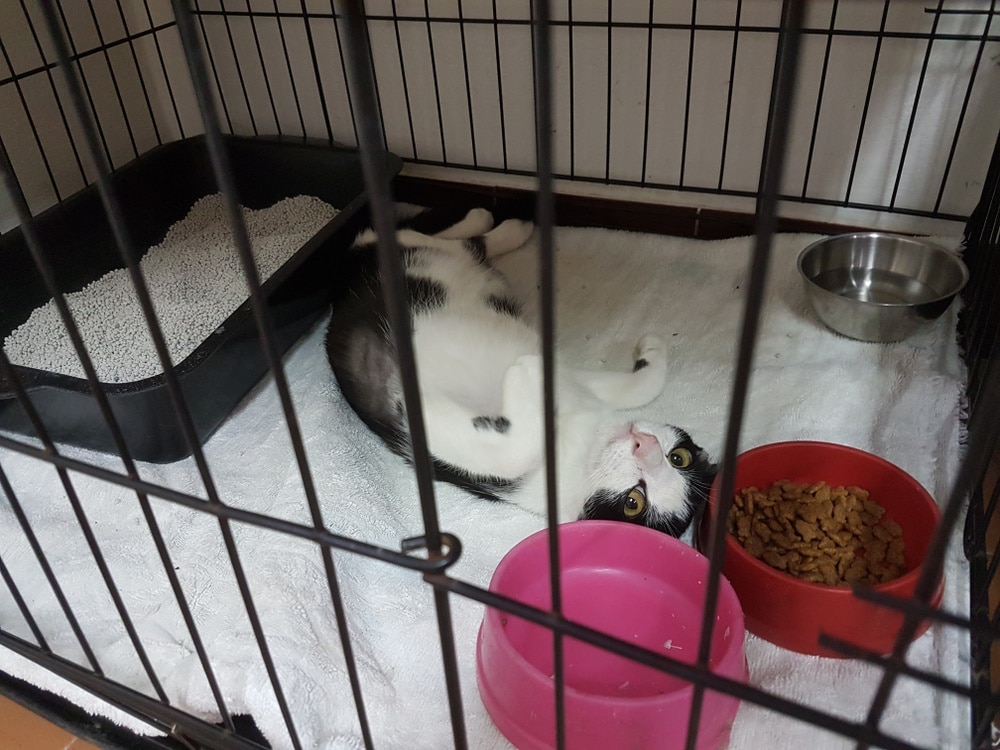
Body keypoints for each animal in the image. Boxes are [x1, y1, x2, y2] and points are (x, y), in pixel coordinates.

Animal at [324, 207, 716, 536]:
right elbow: (642, 385)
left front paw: (523, 371)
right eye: (679, 457)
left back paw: (501, 226)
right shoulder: (577, 382)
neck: (586, 435)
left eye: (634, 503)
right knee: (421, 237)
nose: (645, 445)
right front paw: (651, 349)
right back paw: (495, 222)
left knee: (445, 242)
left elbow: (508, 453)